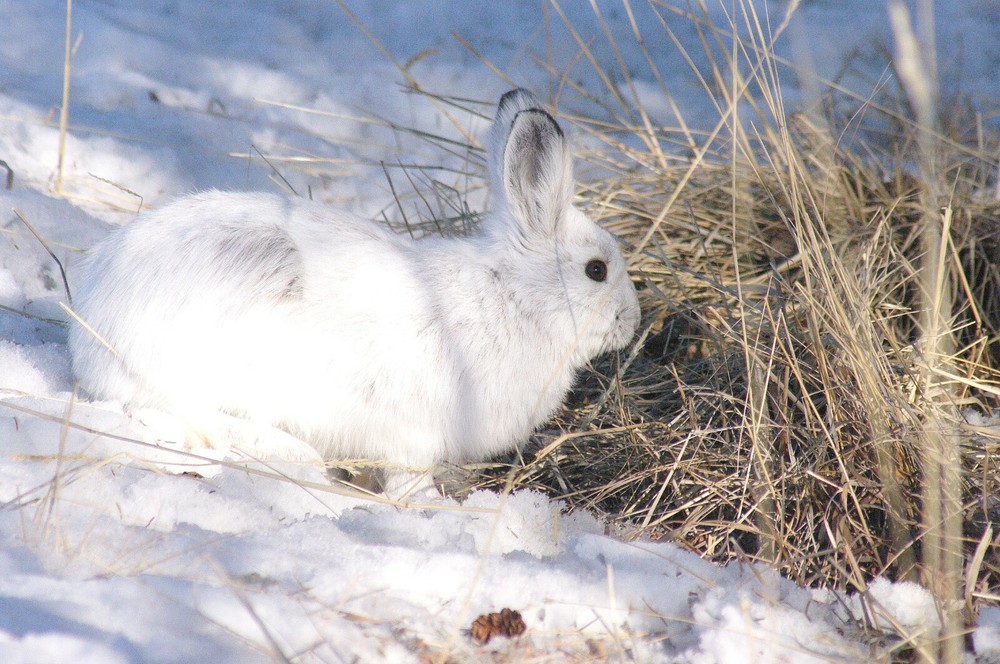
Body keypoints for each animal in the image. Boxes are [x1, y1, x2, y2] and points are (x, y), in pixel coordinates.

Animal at [68, 88, 641, 496]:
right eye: (596, 270)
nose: (632, 321)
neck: (514, 296)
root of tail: (94, 337)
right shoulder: (414, 436)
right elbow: (408, 477)